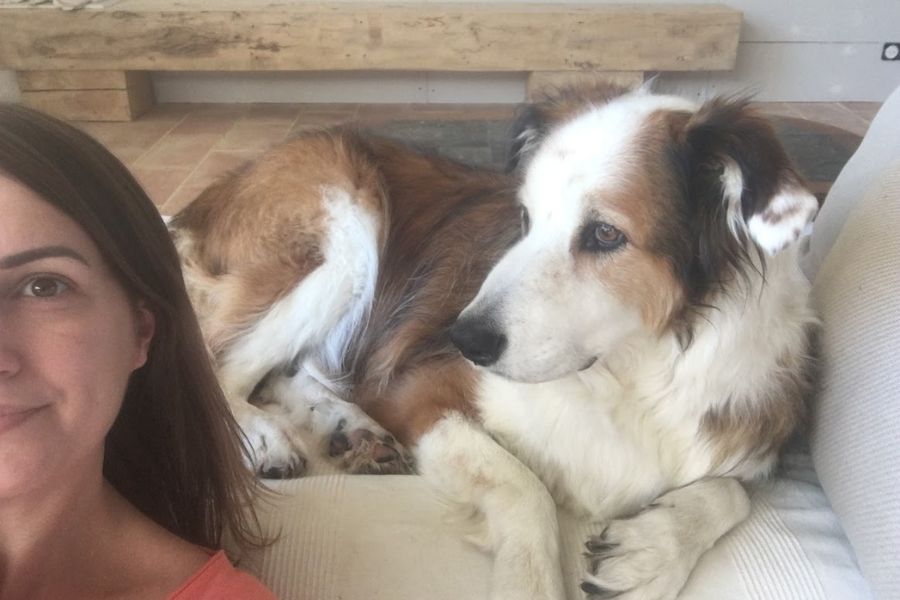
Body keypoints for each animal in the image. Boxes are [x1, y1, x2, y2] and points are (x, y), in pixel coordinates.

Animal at [171, 85, 824, 600]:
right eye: (526, 220)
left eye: (605, 234)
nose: (462, 339)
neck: (631, 376)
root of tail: (221, 185)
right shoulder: (419, 394)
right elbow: (524, 485)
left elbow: (733, 491)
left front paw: (652, 550)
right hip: (346, 225)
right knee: (221, 365)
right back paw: (266, 436)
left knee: (289, 369)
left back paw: (351, 428)